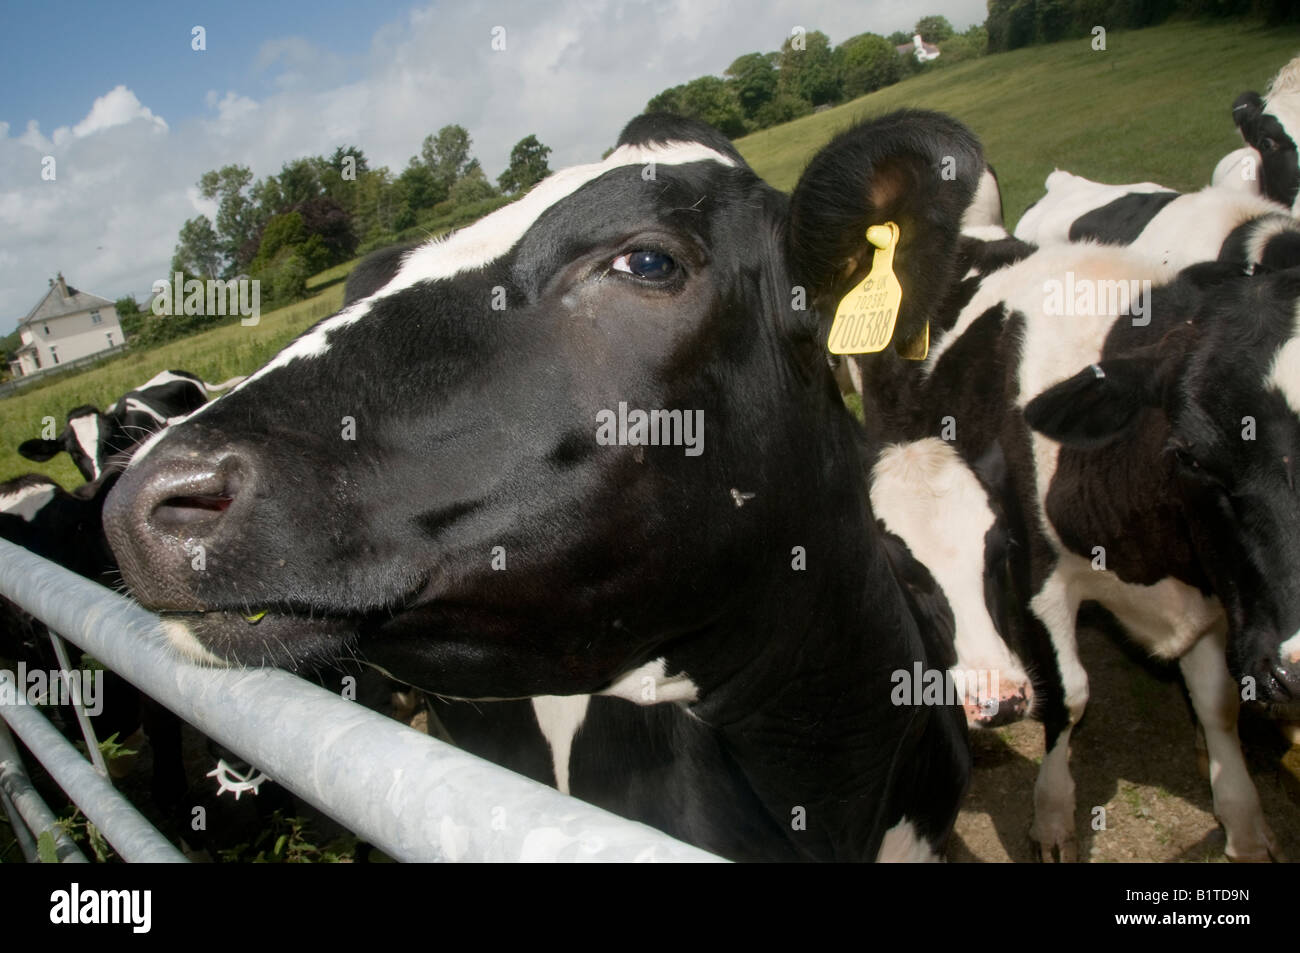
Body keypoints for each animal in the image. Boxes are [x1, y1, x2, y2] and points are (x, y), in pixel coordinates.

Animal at [804, 110, 1298, 861]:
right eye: (1196, 456)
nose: (1295, 666)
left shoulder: (1213, 582)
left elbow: (1216, 702)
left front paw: (1242, 819)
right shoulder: (1039, 571)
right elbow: (1071, 694)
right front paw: (1054, 813)